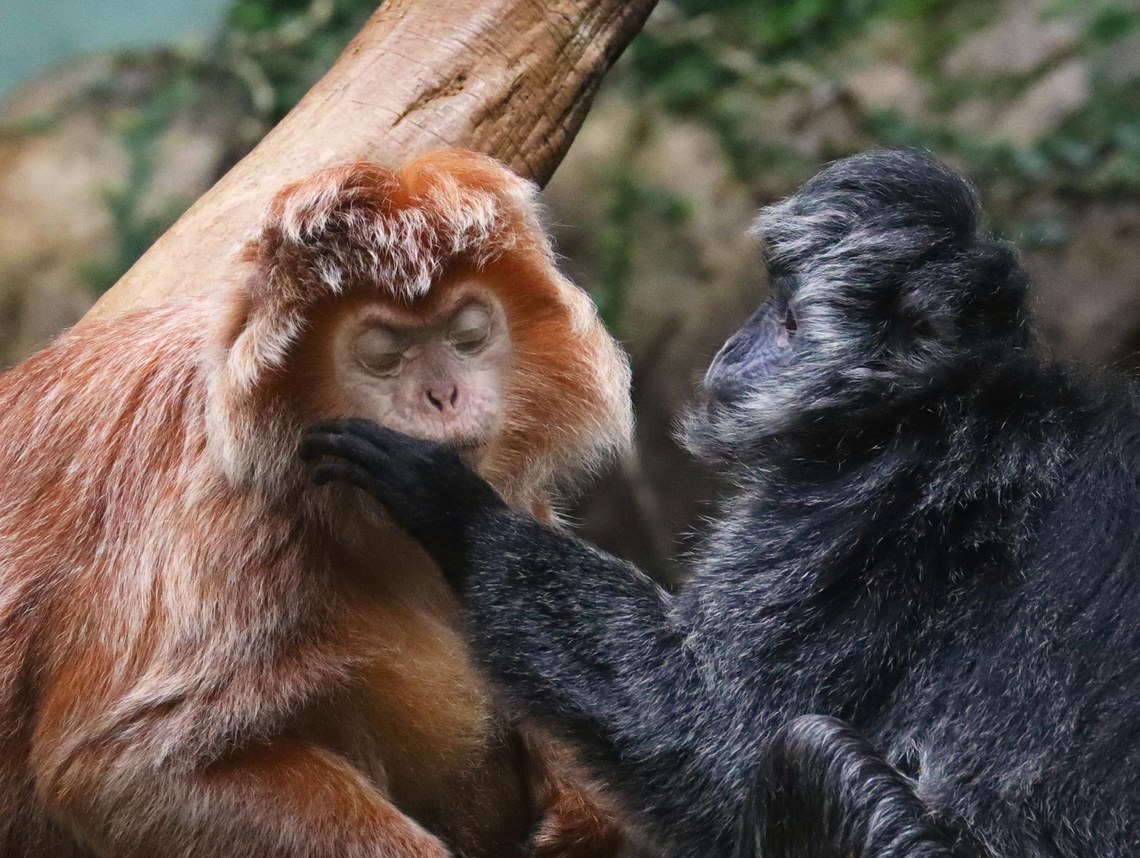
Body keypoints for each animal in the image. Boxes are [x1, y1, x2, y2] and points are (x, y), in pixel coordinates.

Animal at [0, 149, 632, 858]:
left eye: (468, 336)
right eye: (384, 355)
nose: (443, 395)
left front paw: (588, 816)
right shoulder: (223, 517)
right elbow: (124, 769)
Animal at [301, 149, 1140, 857]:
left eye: (791, 319)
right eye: (772, 300)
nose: (741, 342)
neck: (944, 397)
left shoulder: (856, 499)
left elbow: (713, 738)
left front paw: (453, 507)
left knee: (805, 752)